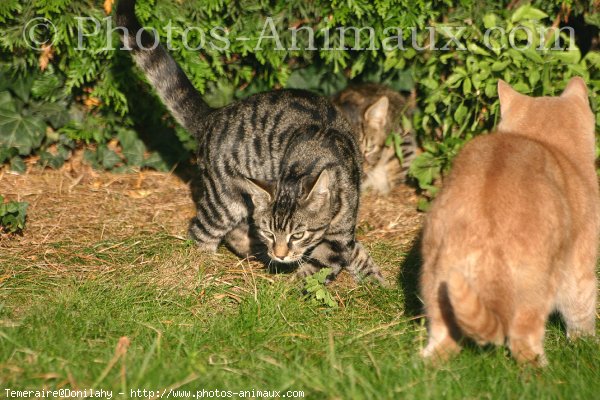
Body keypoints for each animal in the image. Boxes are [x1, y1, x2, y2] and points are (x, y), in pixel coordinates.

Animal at [115, 0, 382, 284]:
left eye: (297, 234)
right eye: (269, 232)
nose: (280, 254)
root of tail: (214, 115)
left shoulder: (342, 234)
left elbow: (351, 254)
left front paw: (377, 281)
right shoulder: (330, 246)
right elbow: (312, 276)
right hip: (223, 200)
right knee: (201, 231)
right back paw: (204, 266)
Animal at [420, 76, 596, 368]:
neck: (541, 140)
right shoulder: (579, 264)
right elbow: (582, 311)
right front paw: (588, 345)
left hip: (436, 279)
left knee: (442, 341)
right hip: (534, 292)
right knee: (522, 341)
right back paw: (543, 369)